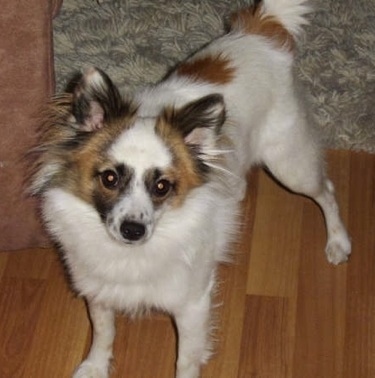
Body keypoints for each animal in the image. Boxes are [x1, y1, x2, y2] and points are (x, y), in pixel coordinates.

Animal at [30, 0, 352, 378]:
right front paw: (95, 366)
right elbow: (103, 331)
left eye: (162, 186)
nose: (133, 230)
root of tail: (260, 27)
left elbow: (185, 358)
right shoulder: (99, 289)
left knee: (326, 191)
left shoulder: (191, 304)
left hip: (289, 165)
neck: (131, 253)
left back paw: (338, 242)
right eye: (109, 178)